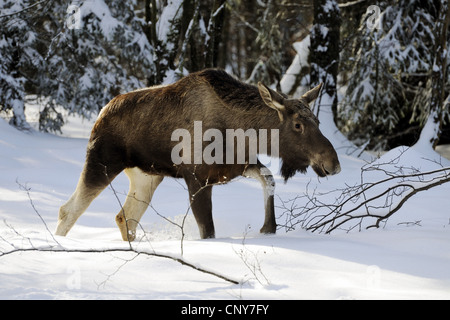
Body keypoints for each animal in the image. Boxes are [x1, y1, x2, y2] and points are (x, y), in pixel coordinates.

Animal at [54, 69, 340, 241]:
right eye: (298, 125)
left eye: (317, 121)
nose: (333, 164)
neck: (241, 133)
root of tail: (101, 112)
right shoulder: (196, 178)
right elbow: (208, 231)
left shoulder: (239, 165)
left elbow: (268, 179)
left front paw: (268, 228)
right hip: (101, 161)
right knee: (68, 210)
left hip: (147, 176)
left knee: (125, 217)